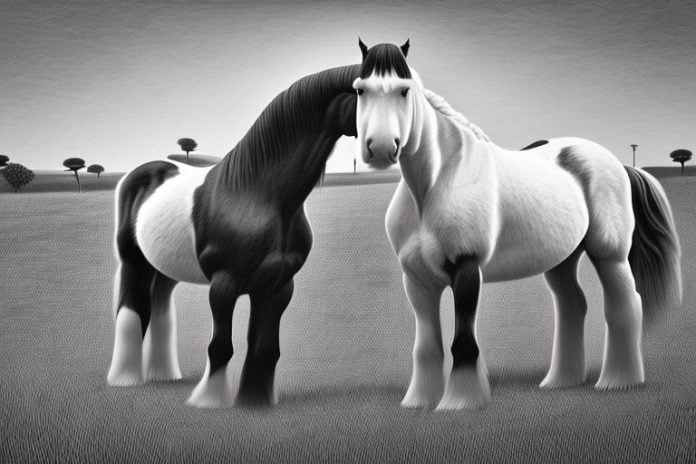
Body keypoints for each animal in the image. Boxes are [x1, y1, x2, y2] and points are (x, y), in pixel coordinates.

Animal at [107, 64, 360, 408]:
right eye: (368, 90)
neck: (257, 194)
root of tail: (139, 173)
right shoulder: (224, 284)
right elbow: (220, 346)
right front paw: (210, 398)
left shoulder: (278, 286)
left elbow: (266, 348)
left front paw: (255, 401)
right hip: (134, 261)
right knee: (134, 311)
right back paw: (126, 378)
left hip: (164, 268)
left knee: (160, 308)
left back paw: (164, 374)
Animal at [352, 40, 682, 410]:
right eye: (360, 89)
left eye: (404, 90)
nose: (381, 148)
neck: (437, 184)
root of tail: (617, 163)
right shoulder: (417, 280)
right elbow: (426, 347)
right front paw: (420, 401)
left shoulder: (466, 269)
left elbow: (463, 342)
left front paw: (460, 401)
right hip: (561, 259)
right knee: (573, 305)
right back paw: (560, 381)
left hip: (609, 254)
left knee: (624, 305)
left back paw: (617, 381)